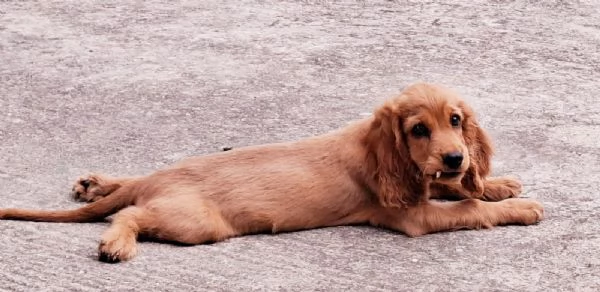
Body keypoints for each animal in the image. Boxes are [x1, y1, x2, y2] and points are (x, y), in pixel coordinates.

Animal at [0, 82, 544, 262]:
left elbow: (460, 191)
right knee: (129, 214)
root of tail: (160, 180)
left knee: (127, 189)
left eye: (455, 121)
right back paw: (115, 242)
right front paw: (520, 206)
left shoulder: (424, 185)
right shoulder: (412, 216)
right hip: (196, 224)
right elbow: (467, 208)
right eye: (417, 129)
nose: (455, 159)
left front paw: (497, 183)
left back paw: (95, 183)